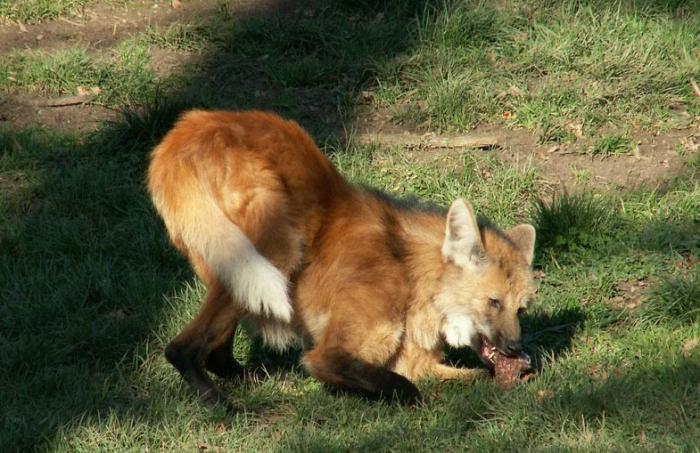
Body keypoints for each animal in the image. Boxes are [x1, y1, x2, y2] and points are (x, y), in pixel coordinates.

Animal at [148, 109, 536, 402]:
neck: (410, 272)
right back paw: (217, 400)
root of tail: (190, 127)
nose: (515, 347)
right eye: (494, 302)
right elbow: (402, 386)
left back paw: (245, 379)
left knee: (216, 344)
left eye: (520, 309)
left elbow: (464, 375)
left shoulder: (415, 361)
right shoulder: (332, 354)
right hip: (274, 253)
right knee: (179, 348)